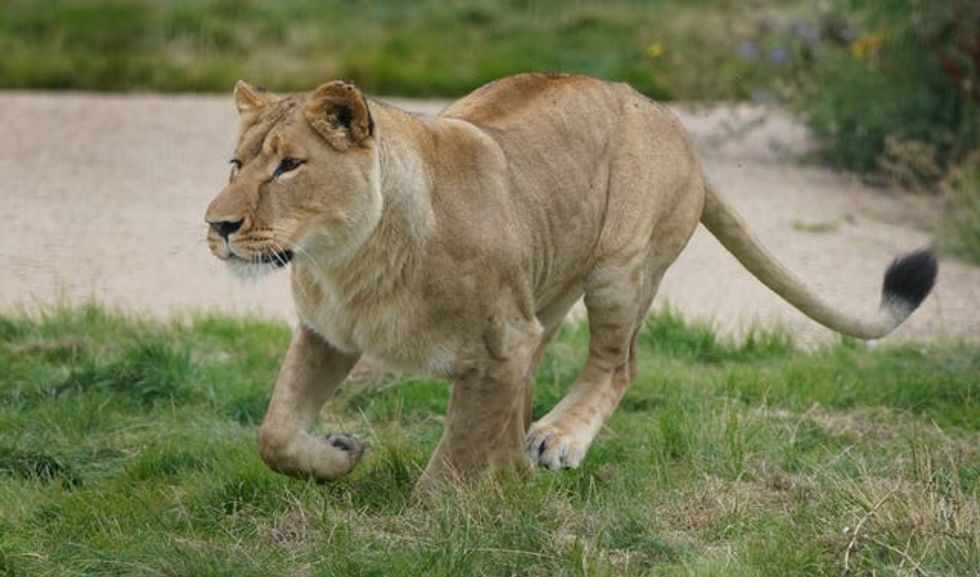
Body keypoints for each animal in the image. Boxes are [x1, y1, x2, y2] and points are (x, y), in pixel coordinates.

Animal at [204, 73, 937, 489]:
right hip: (547, 287)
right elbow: (275, 432)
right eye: (236, 162)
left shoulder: (499, 343)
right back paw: (522, 458)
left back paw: (556, 440)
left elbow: (455, 462)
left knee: (619, 364)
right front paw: (338, 454)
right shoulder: (328, 335)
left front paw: (435, 522)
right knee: (542, 374)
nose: (219, 224)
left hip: (618, 270)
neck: (349, 261)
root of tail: (677, 126)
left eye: (290, 166)